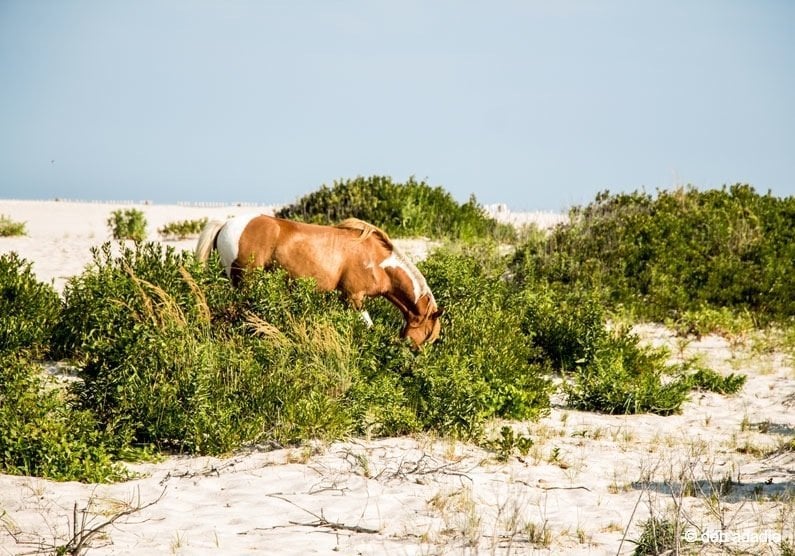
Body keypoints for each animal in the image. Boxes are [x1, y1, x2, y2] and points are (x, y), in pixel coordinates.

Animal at [193, 214, 442, 348]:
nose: (415, 360)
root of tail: (227, 224)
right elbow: (368, 326)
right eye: (428, 335)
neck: (378, 262)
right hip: (244, 281)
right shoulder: (354, 298)